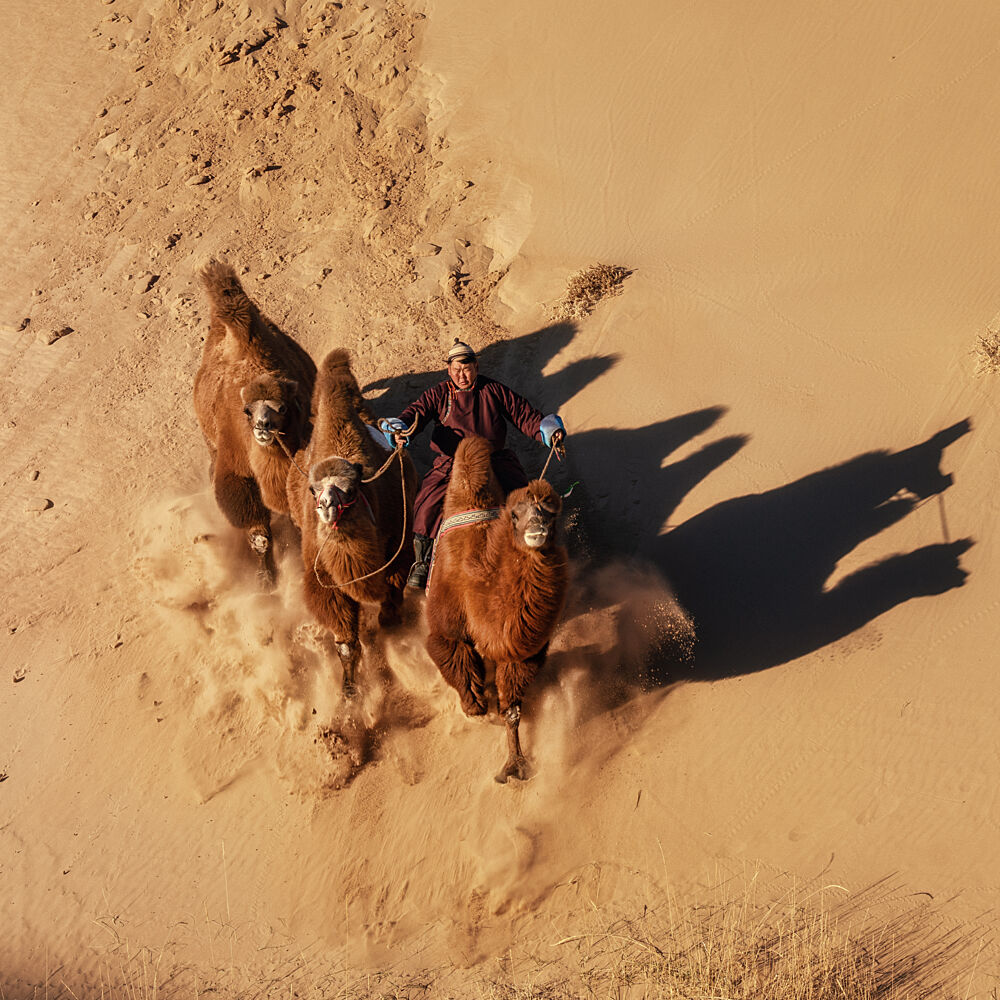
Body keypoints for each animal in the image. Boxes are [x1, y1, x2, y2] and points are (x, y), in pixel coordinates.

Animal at [193, 259, 316, 584]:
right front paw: (265, 579)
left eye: (281, 408)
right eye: (247, 411)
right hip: (210, 439)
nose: (263, 428)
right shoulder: (235, 467)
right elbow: (258, 533)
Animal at [287, 349, 416, 695]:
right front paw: (349, 691)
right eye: (313, 490)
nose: (328, 506)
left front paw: (391, 623)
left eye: (350, 488)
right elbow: (345, 642)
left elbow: (393, 591)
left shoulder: (396, 541)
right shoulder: (324, 579)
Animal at [425, 435, 569, 782]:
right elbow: (463, 675)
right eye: (515, 515)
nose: (537, 529)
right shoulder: (446, 632)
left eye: (552, 512)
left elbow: (512, 710)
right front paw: (476, 707)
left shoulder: (520, 653)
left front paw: (514, 765)